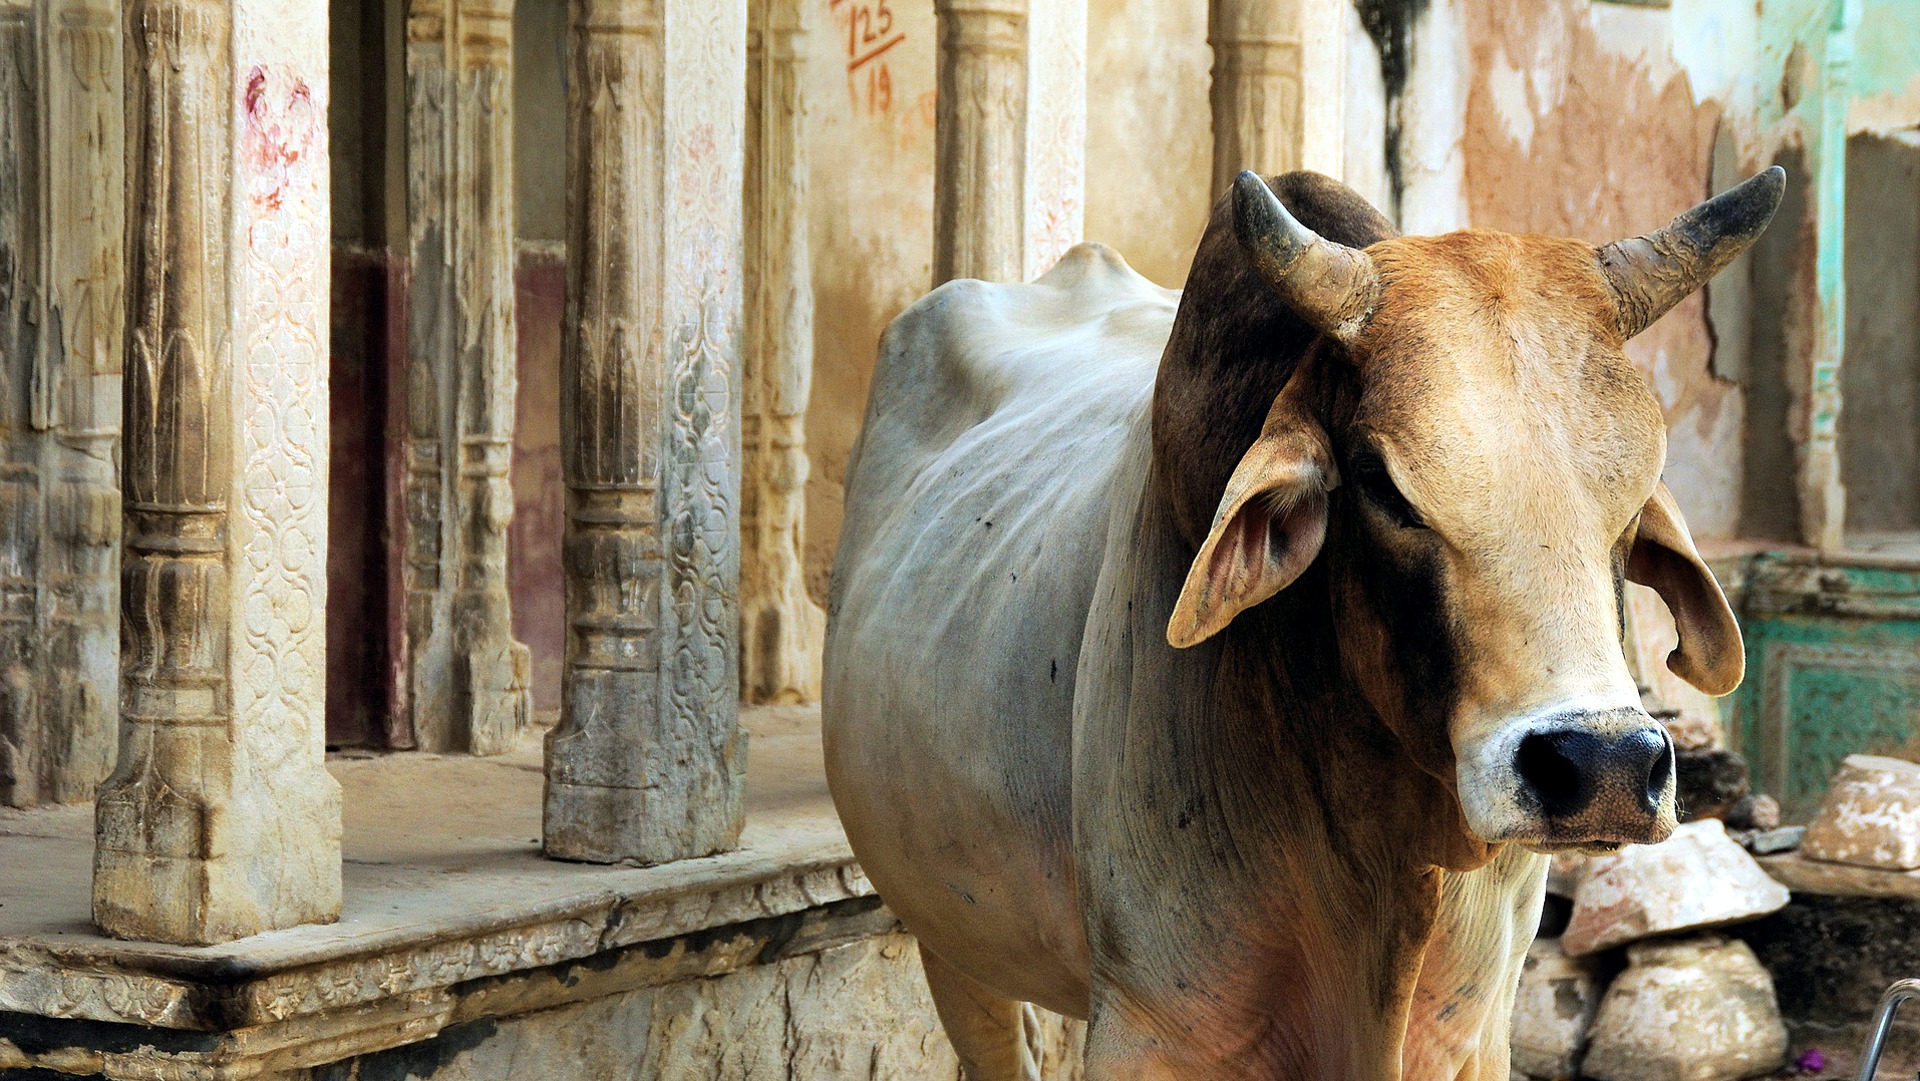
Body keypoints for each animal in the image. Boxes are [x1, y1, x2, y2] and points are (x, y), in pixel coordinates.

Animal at [823, 167, 1783, 1081]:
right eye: (1383, 484)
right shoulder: (1149, 1028)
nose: (1604, 766)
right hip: (950, 940)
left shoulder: (1475, 1031)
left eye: (1636, 493)